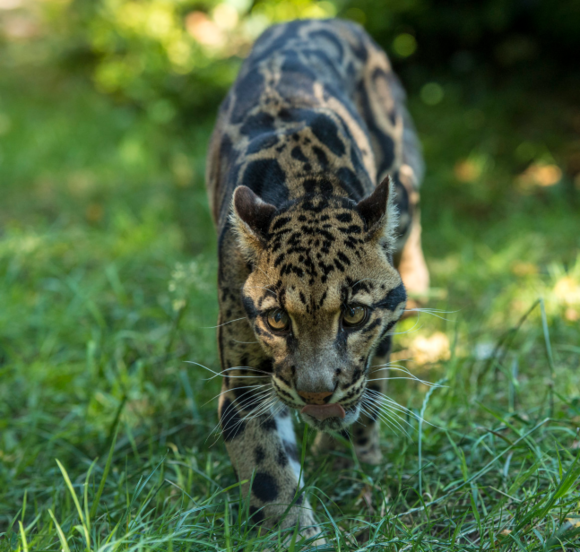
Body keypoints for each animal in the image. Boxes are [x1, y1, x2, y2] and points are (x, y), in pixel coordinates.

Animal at [206, 17, 428, 544]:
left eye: (354, 314)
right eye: (276, 320)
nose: (315, 393)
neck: (309, 188)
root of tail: (320, 18)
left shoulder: (374, 349)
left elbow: (368, 398)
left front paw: (357, 462)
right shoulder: (244, 387)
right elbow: (269, 474)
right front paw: (293, 535)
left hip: (404, 173)